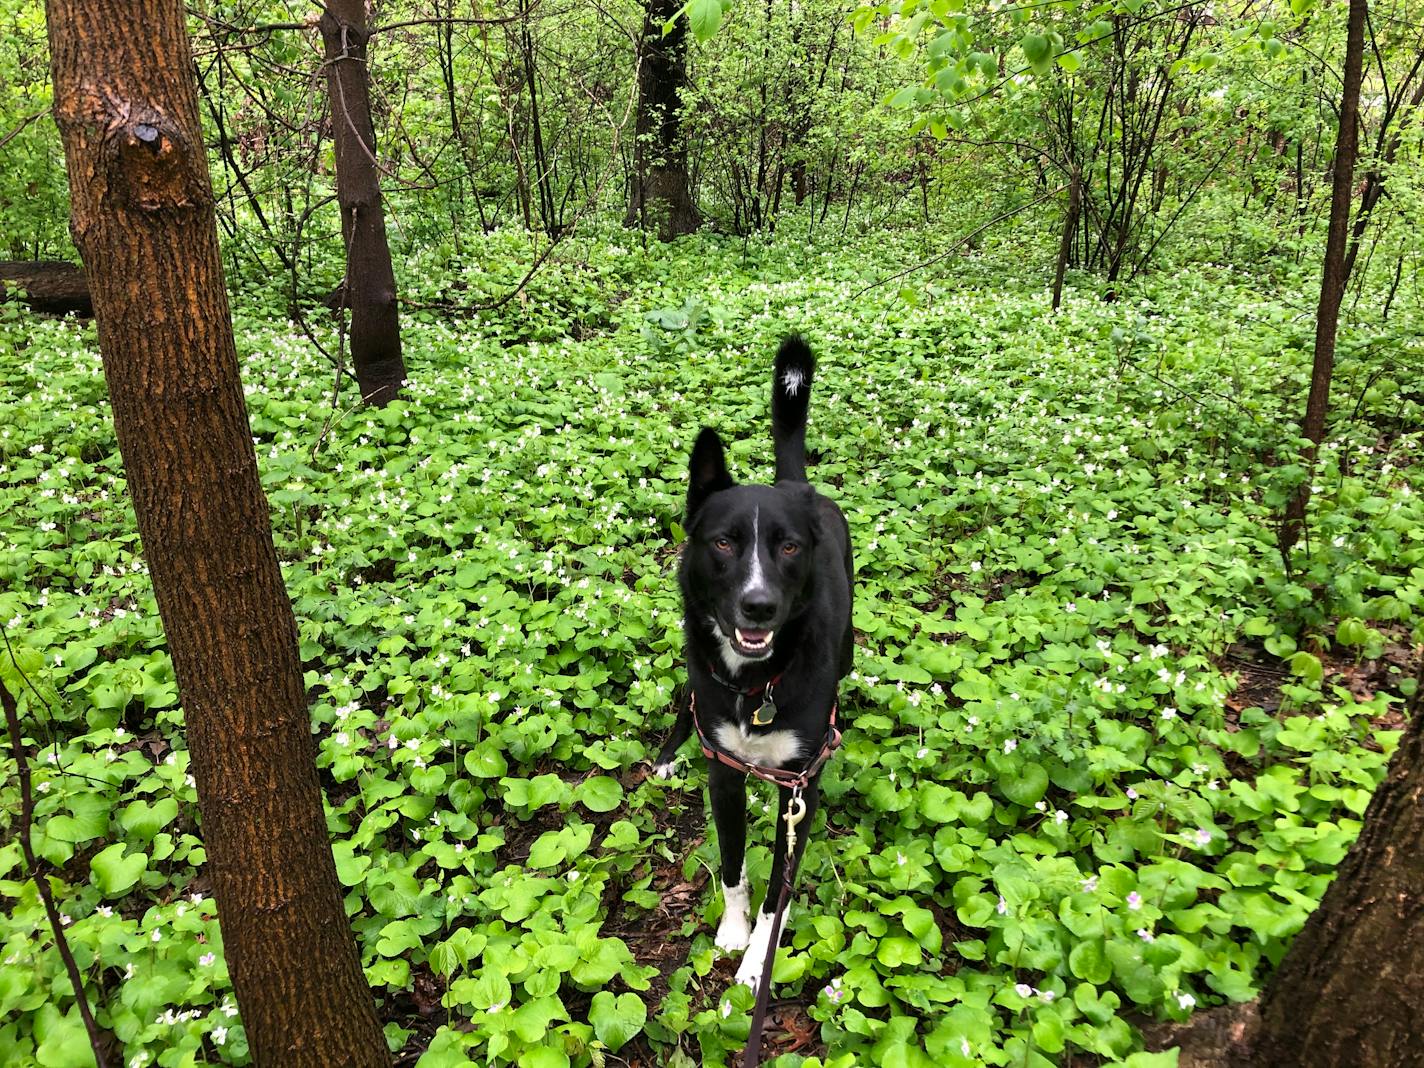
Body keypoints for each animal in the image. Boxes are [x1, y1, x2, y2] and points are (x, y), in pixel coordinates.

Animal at [652, 338, 848, 991]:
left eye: (788, 546)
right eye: (723, 542)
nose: (758, 605)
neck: (756, 684)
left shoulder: (799, 788)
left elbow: (777, 894)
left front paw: (759, 959)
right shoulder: (725, 774)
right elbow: (735, 866)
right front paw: (733, 933)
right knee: (685, 705)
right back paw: (667, 755)